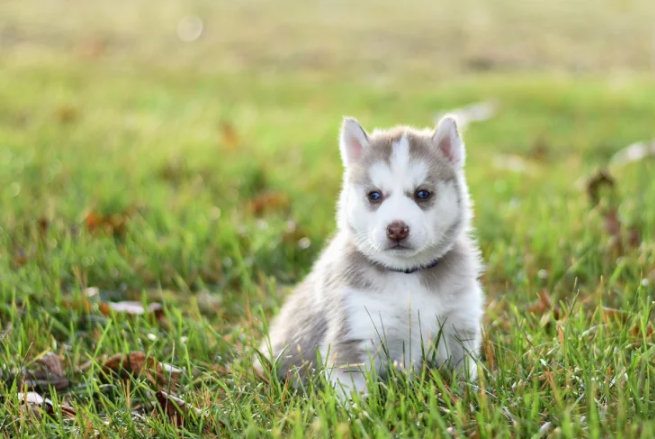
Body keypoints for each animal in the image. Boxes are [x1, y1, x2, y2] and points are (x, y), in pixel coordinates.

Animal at [258, 115, 484, 398]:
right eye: (374, 195)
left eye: (422, 194)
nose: (397, 228)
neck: (407, 275)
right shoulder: (355, 332)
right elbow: (353, 395)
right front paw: (358, 409)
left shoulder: (458, 325)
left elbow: (464, 374)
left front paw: (471, 398)